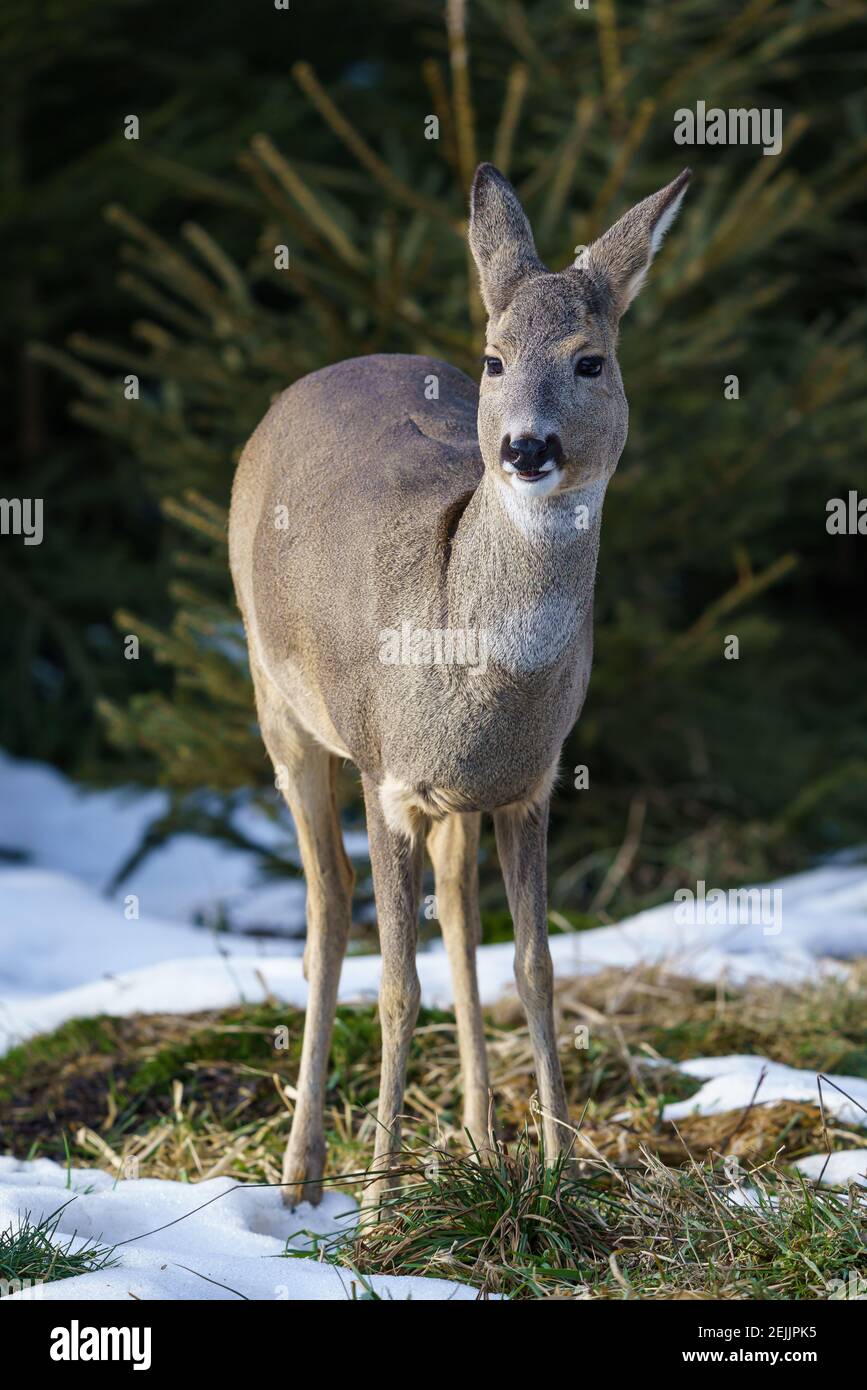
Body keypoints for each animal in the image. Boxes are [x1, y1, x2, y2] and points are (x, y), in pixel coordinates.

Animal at [229, 162, 691, 1209]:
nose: (524, 448)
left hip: (454, 799)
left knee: (456, 912)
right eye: (490, 359)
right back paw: (302, 1172)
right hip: (281, 705)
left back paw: (478, 1142)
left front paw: (561, 1173)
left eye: (590, 361)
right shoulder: (387, 771)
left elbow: (536, 964)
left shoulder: (529, 781)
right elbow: (396, 985)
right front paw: (378, 1204)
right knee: (326, 908)